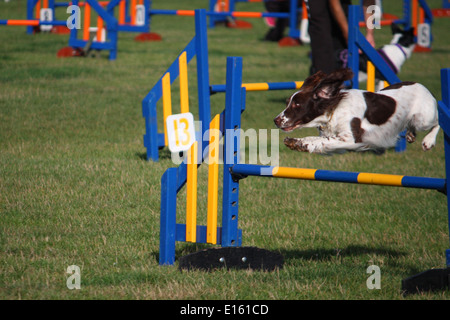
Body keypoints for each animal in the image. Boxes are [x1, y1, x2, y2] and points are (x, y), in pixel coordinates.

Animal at [274, 69, 440, 155]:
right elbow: (317, 139)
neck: (335, 108)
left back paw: (428, 141)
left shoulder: (351, 138)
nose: (276, 120)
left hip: (424, 118)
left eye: (297, 104)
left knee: (438, 122)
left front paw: (299, 143)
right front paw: (296, 142)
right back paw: (411, 135)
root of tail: (423, 87)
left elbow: (323, 141)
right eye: (288, 102)